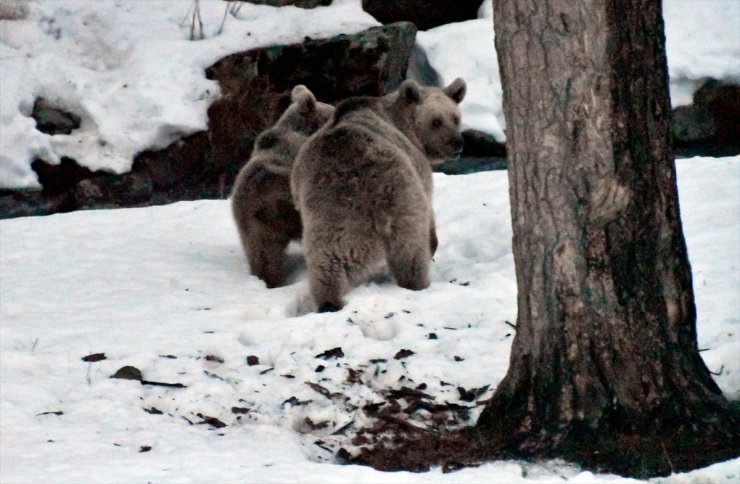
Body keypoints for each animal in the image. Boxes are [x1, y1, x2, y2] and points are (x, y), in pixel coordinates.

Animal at [292, 77, 466, 312]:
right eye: (436, 121)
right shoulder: (419, 169)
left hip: (330, 213)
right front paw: (434, 243)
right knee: (411, 252)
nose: (457, 143)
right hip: (403, 202)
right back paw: (416, 282)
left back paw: (329, 300)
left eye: (455, 118)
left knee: (326, 259)